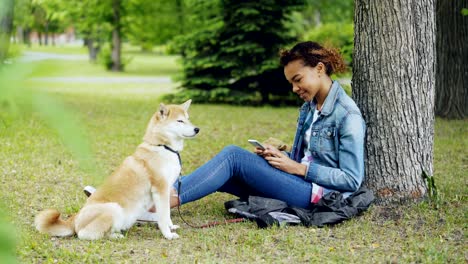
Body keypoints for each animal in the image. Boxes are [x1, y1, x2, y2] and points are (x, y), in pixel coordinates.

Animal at [35, 99, 199, 239]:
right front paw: (168, 235)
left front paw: (171, 227)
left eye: (188, 118)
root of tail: (74, 219)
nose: (197, 129)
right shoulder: (160, 189)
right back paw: (115, 236)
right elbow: (164, 217)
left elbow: (167, 215)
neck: (163, 146)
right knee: (84, 234)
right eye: (180, 121)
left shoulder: (166, 190)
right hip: (113, 209)